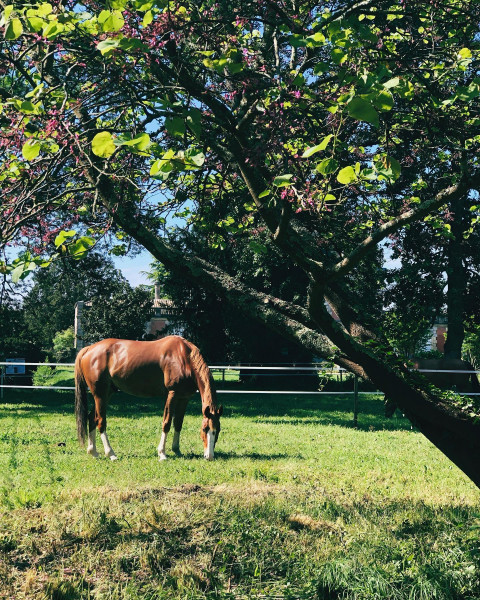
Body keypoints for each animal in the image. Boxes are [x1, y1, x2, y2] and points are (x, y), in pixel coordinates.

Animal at [74, 338, 223, 460]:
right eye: (204, 429)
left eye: (218, 430)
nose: (209, 456)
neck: (184, 357)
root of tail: (89, 349)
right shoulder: (172, 394)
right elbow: (167, 422)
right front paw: (162, 453)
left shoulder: (184, 397)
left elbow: (178, 423)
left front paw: (177, 450)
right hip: (100, 394)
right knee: (100, 421)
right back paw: (111, 454)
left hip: (107, 393)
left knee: (91, 418)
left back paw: (93, 452)